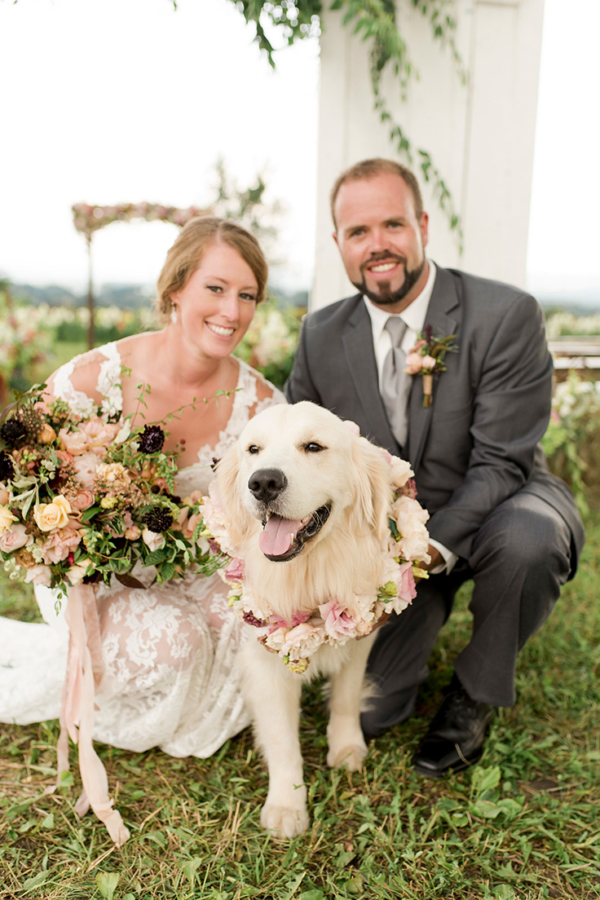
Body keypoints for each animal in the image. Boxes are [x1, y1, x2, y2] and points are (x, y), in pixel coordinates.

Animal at [213, 404, 396, 840]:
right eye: (253, 449)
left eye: (313, 446)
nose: (263, 482)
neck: (309, 573)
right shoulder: (264, 664)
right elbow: (282, 740)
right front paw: (286, 804)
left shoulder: (360, 638)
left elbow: (346, 698)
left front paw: (346, 747)